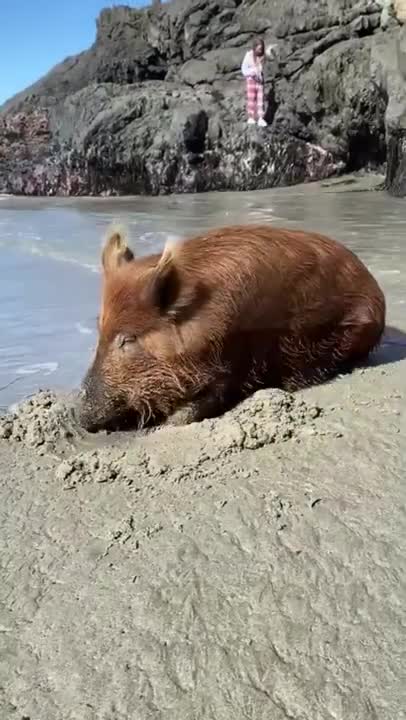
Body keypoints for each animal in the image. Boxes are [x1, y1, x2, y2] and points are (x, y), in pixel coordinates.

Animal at [78, 223, 386, 432]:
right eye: (99, 332)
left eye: (128, 339)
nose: (78, 417)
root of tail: (376, 290)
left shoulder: (233, 363)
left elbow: (204, 402)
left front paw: (164, 425)